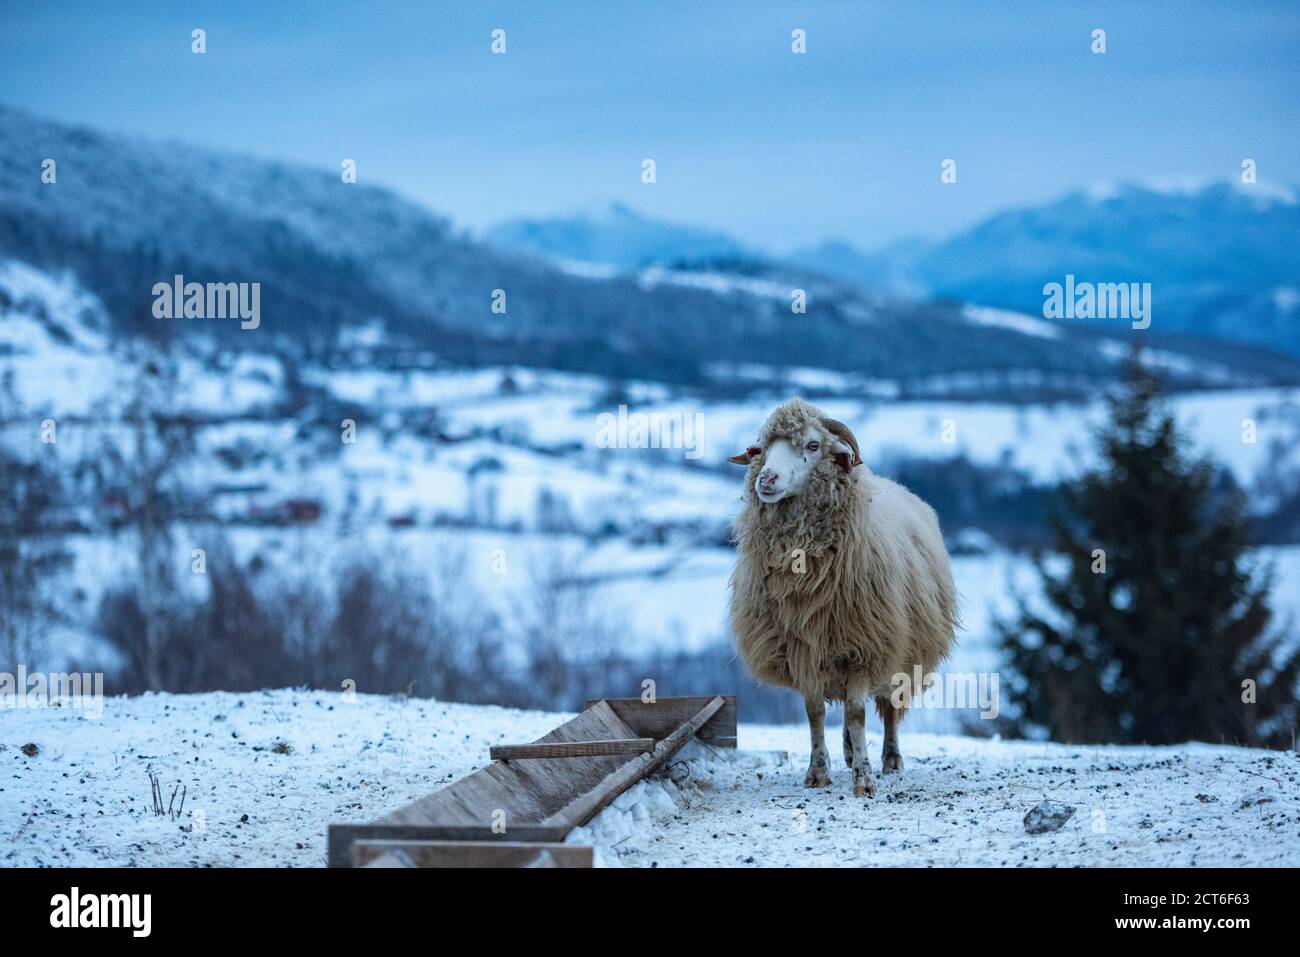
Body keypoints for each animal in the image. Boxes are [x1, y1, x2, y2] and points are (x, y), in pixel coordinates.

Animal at [728, 400, 961, 795]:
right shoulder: (804, 650)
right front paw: (818, 772)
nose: (766, 480)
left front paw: (864, 779)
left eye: (812, 445)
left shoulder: (865, 645)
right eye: (761, 450)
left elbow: (856, 712)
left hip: (897, 650)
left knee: (888, 708)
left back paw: (890, 759)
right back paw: (851, 752)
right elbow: (815, 714)